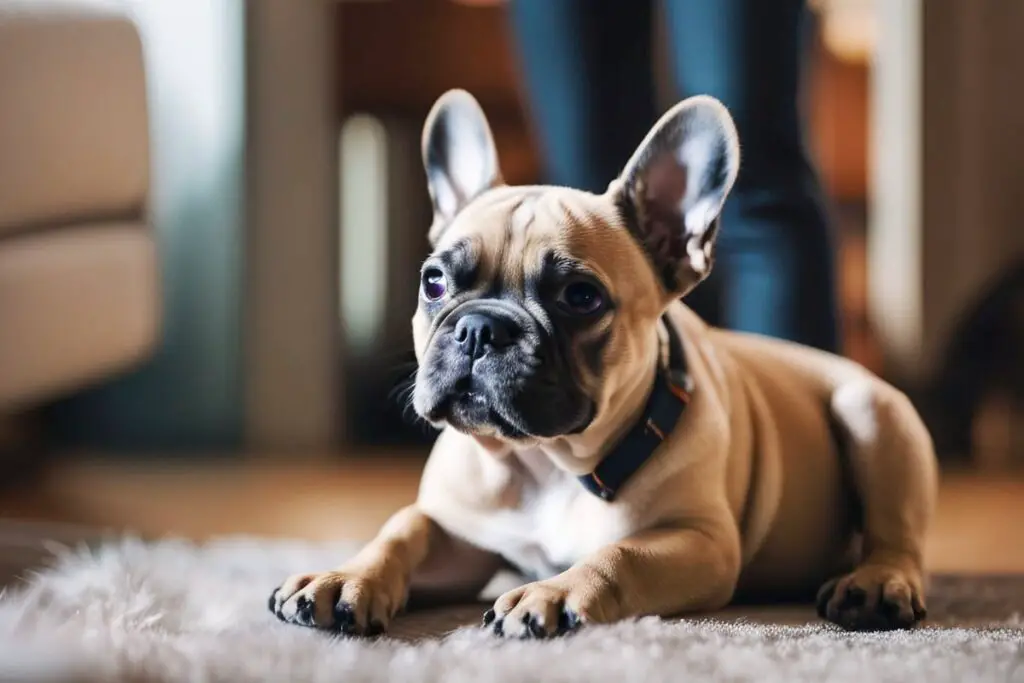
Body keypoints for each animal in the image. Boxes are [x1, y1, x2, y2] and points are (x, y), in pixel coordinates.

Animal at [270, 89, 937, 634]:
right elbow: (401, 530)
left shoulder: (702, 542)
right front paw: (344, 577)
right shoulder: (459, 533)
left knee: (898, 537)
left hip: (872, 414)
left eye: (580, 297)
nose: (479, 327)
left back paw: (875, 585)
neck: (543, 462)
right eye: (434, 281)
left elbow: (621, 554)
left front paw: (552, 593)